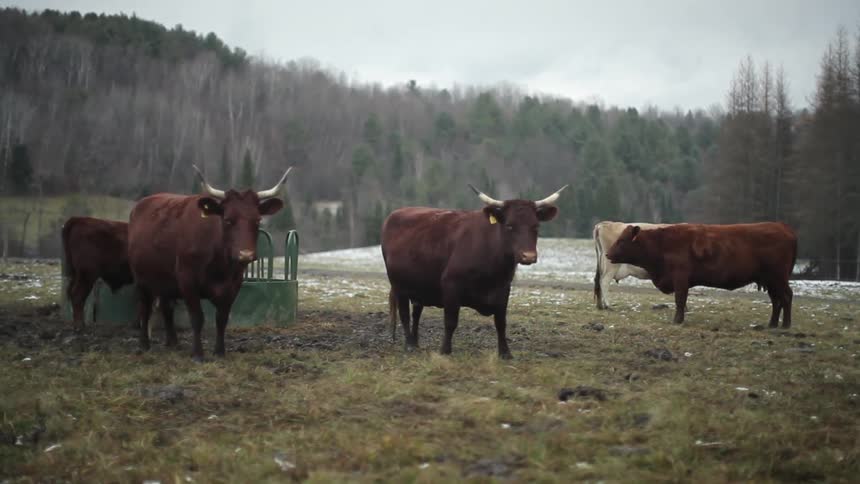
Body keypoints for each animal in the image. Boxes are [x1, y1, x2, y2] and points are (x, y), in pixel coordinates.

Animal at [127, 165, 291, 360]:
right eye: (228, 220)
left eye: (257, 220)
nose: (245, 255)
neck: (219, 264)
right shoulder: (187, 280)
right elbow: (197, 318)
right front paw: (198, 354)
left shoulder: (233, 285)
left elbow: (222, 318)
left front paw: (219, 351)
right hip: (142, 279)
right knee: (145, 309)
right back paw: (144, 344)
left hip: (165, 280)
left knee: (167, 307)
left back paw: (173, 342)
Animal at [381, 184, 567, 359]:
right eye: (509, 226)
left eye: (536, 226)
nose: (528, 256)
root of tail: (396, 213)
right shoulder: (451, 285)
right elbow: (450, 321)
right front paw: (445, 350)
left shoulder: (503, 289)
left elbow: (501, 323)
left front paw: (505, 353)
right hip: (399, 286)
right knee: (404, 314)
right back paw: (409, 345)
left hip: (419, 287)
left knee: (416, 312)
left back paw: (416, 342)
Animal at [606, 222, 797, 327]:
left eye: (621, 241)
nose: (607, 254)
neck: (662, 244)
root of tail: (782, 226)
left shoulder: (680, 279)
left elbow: (680, 301)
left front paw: (677, 321)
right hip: (771, 281)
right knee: (777, 300)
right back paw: (772, 324)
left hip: (778, 278)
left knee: (786, 297)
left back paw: (786, 325)